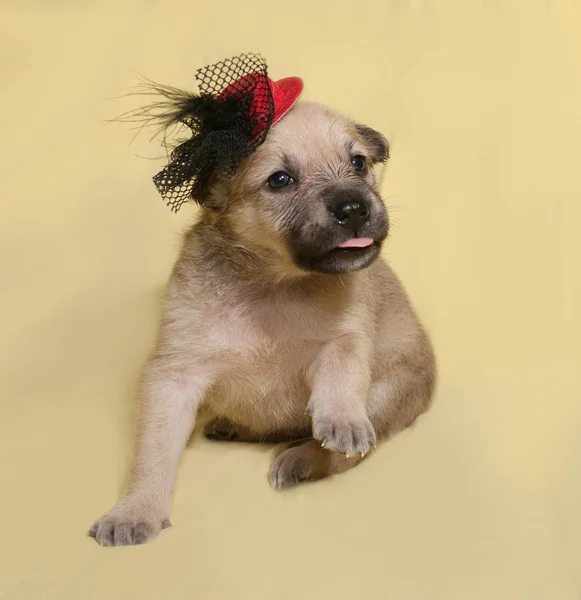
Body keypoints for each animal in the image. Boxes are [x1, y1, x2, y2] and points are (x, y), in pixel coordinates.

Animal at [89, 99, 436, 548]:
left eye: (358, 162)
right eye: (280, 180)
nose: (354, 208)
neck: (273, 284)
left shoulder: (347, 335)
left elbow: (341, 363)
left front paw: (341, 417)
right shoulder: (174, 376)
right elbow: (154, 450)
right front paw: (136, 509)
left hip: (386, 397)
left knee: (342, 457)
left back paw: (301, 458)